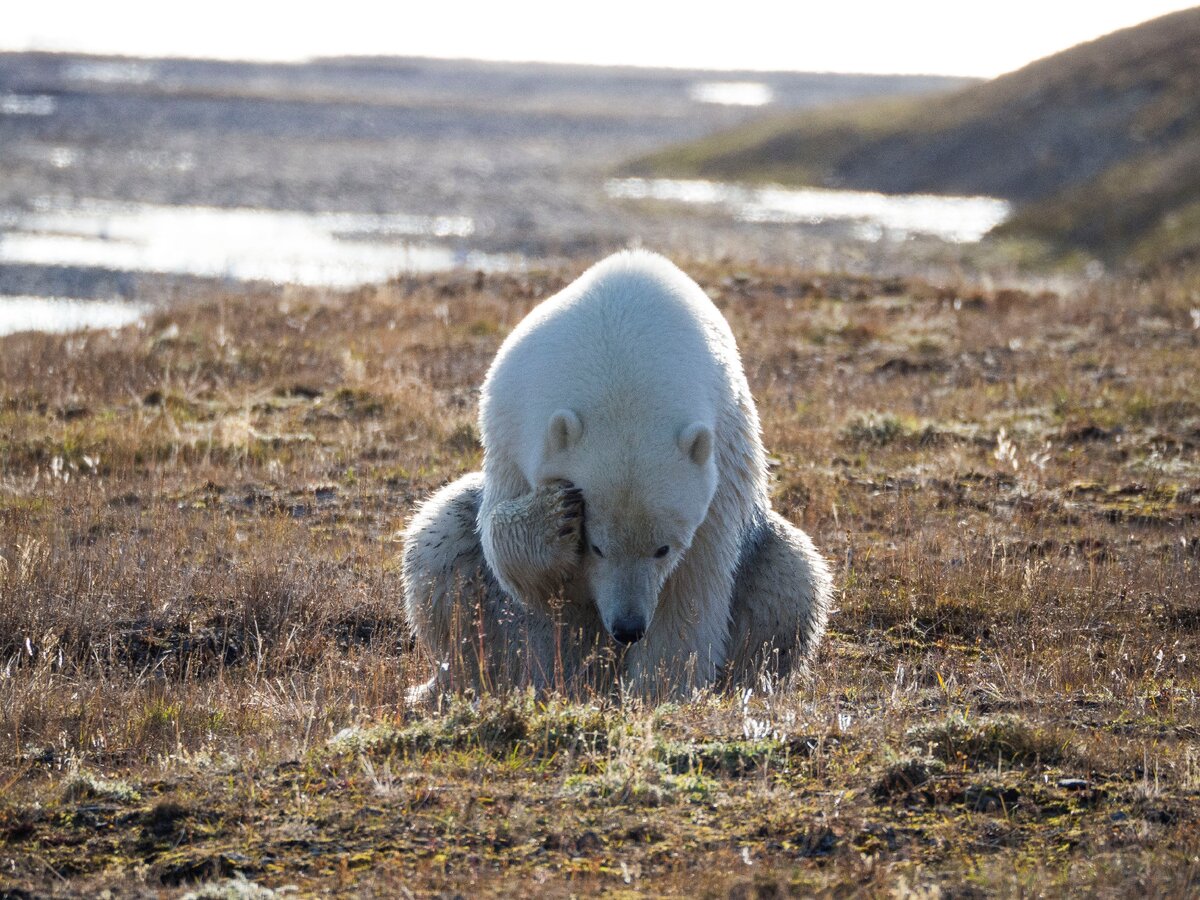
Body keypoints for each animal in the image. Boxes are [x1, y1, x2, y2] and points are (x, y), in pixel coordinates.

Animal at [398, 250, 830, 700]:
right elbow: (508, 552)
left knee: (791, 578)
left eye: (663, 549)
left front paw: (659, 690)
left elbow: (692, 589)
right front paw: (554, 518)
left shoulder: (721, 468)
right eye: (596, 547)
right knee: (441, 544)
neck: (623, 351)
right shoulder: (510, 425)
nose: (627, 628)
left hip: (765, 558)